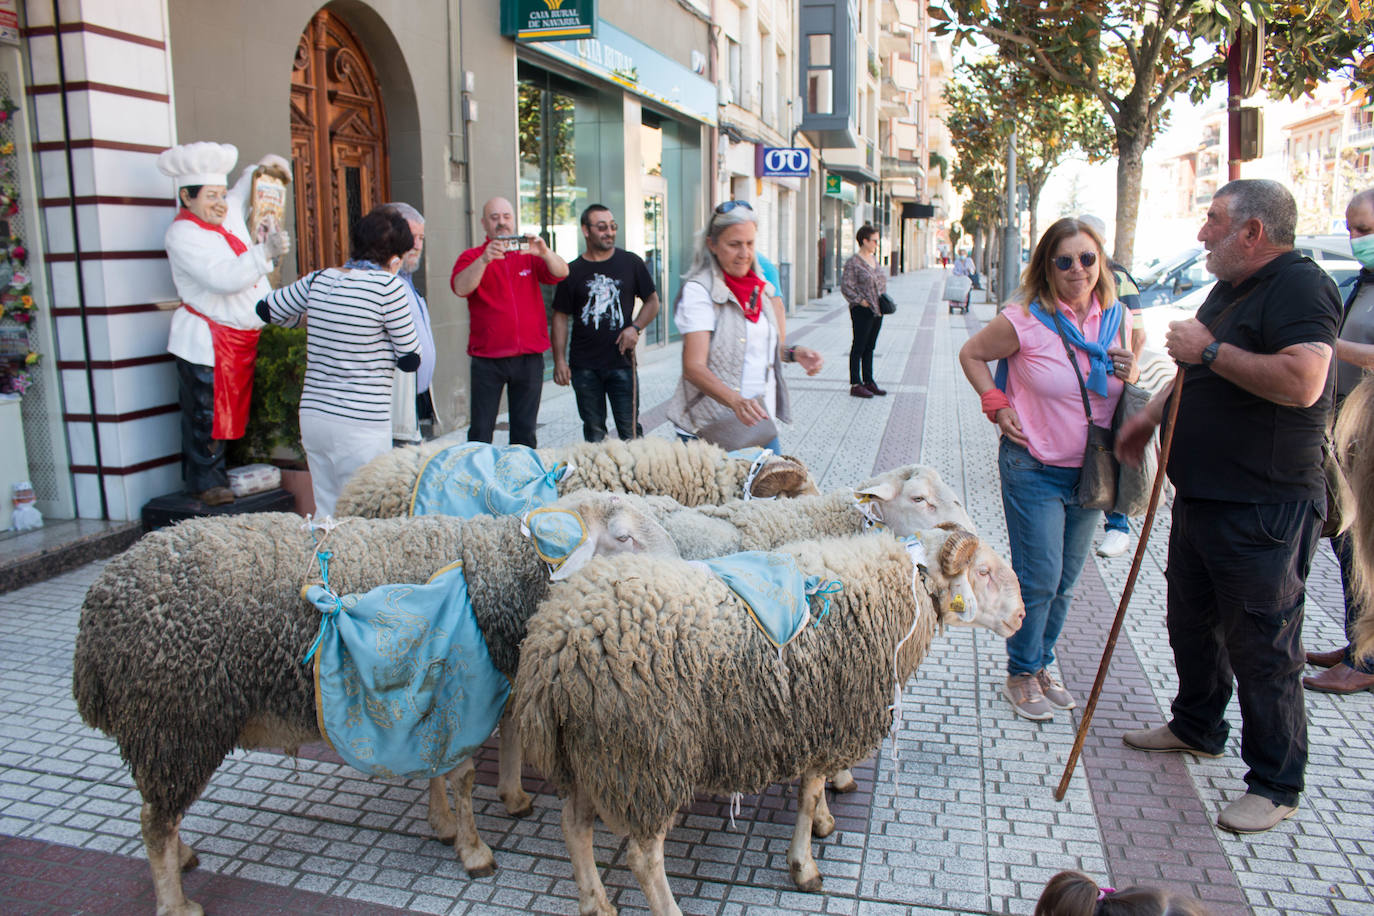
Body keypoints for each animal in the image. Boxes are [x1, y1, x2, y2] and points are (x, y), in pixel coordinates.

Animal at [72, 494, 678, 916]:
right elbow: (461, 777)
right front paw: (474, 852)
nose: (684, 577)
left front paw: (445, 823)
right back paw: (176, 900)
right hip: (175, 718)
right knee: (154, 820)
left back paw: (182, 858)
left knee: (157, 812)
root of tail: (97, 609)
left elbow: (438, 769)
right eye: (623, 536)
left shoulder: (434, 694)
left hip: (165, 726)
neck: (501, 570)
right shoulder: (456, 687)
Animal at [513, 530, 1022, 916]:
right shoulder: (827, 717)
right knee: (642, 856)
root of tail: (553, 647)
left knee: (574, 826)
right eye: (982, 572)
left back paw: (595, 903)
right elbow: (807, 795)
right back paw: (665, 908)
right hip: (647, 757)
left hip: (592, 754)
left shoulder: (815, 720)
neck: (894, 592)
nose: (1019, 616)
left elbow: (814, 791)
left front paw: (825, 822)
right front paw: (805, 865)